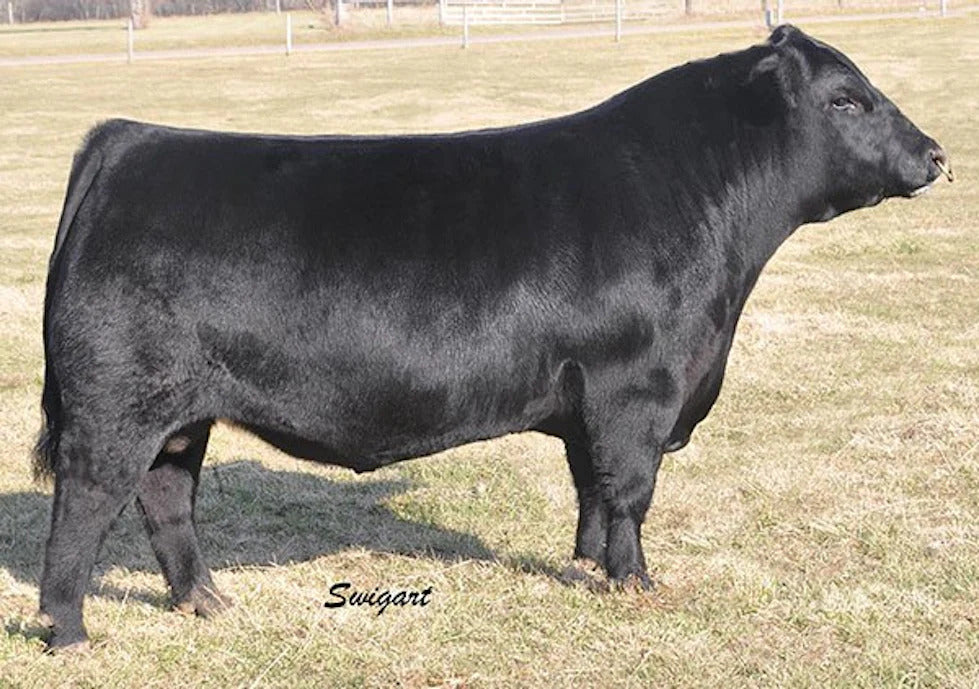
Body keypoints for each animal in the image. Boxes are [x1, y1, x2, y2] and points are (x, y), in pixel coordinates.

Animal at [34, 25, 950, 650]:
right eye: (845, 99)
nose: (936, 154)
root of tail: (130, 137)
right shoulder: (637, 388)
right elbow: (630, 489)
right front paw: (634, 582)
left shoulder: (591, 399)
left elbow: (590, 486)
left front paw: (584, 566)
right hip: (116, 404)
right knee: (86, 501)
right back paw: (68, 632)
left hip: (179, 413)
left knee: (165, 498)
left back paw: (207, 601)